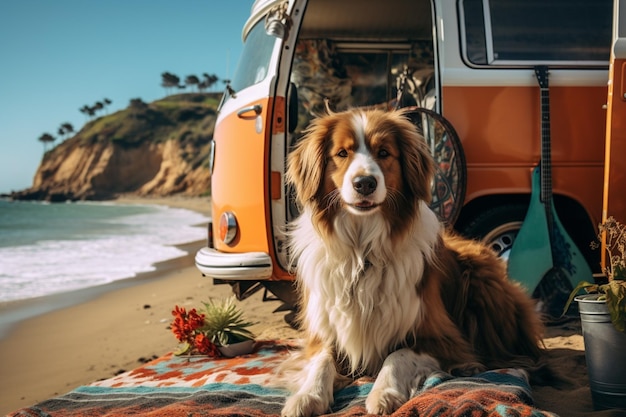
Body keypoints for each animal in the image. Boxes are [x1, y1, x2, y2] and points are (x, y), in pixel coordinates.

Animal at [280, 108, 544, 416]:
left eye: (384, 152)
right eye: (342, 153)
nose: (364, 183)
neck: (362, 250)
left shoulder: (441, 337)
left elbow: (397, 354)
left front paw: (383, 393)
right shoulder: (320, 334)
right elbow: (321, 360)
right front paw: (307, 396)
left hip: (481, 281)